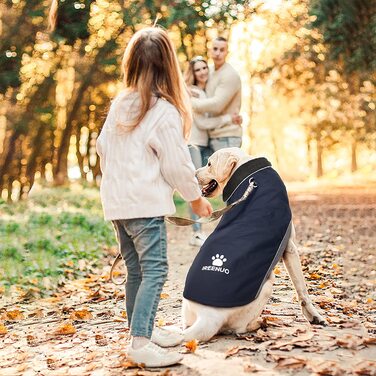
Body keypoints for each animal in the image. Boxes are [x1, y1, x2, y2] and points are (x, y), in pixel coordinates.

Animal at [181, 148, 324, 342]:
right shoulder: (290, 248)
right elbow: (302, 290)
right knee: (238, 328)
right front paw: (314, 316)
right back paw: (259, 323)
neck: (250, 180)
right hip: (268, 284)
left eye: (209, 164)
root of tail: (207, 317)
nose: (193, 174)